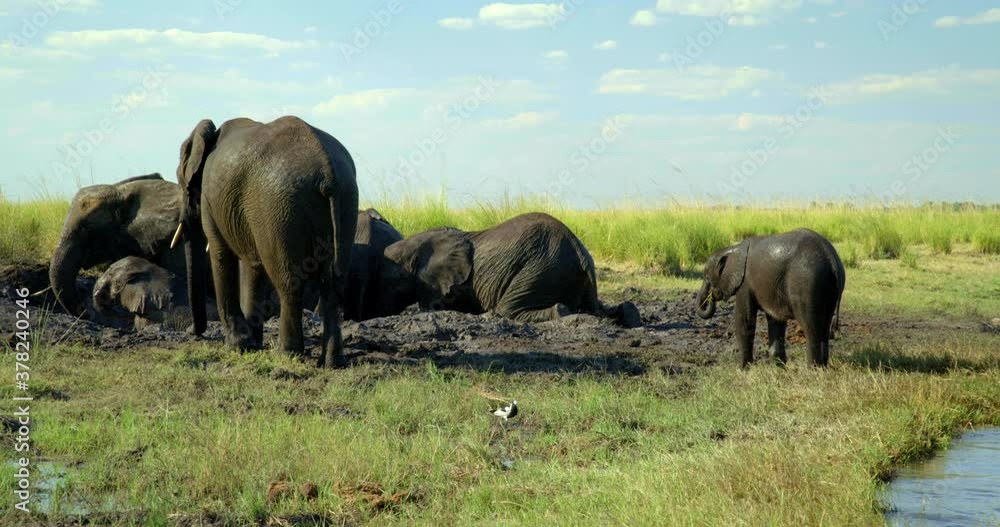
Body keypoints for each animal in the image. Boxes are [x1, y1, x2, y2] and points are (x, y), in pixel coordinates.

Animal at [172, 115, 358, 367]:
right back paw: (332, 363)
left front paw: (238, 346)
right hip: (346, 200)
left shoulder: (211, 198)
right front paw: (252, 345)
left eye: (181, 181)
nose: (193, 332)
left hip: (280, 209)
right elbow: (253, 265)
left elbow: (221, 254)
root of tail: (327, 172)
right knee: (333, 283)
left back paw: (286, 355)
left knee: (289, 283)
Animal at [374, 212, 641, 326]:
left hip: (538, 269)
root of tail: (578, 250)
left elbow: (433, 307)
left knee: (507, 308)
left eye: (393, 278)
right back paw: (629, 314)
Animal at [695, 228, 845, 367]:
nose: (710, 298)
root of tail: (830, 257)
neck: (732, 249)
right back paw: (822, 368)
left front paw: (743, 369)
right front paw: (779, 368)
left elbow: (745, 320)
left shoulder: (744, 284)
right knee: (825, 326)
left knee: (811, 327)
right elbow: (775, 320)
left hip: (807, 284)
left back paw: (812, 369)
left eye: (707, 277)